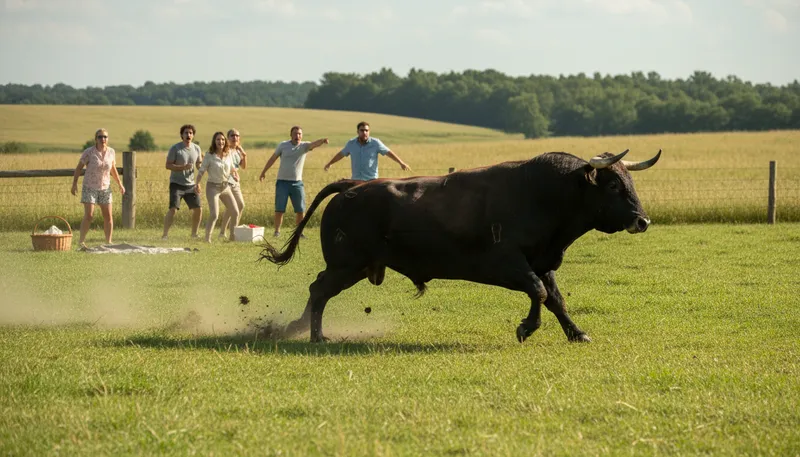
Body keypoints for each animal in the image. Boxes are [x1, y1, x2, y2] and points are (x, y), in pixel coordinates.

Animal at [259, 148, 661, 343]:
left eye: (628, 182)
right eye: (614, 185)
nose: (642, 220)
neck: (543, 194)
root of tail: (352, 187)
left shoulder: (542, 262)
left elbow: (555, 298)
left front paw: (577, 333)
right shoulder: (508, 263)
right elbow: (538, 292)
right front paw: (526, 328)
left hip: (354, 267)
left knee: (318, 289)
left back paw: (295, 328)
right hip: (347, 265)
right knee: (320, 290)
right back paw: (315, 335)